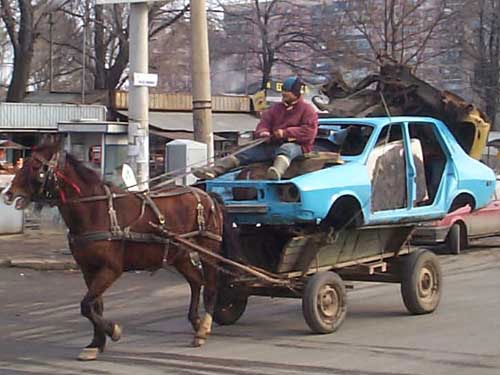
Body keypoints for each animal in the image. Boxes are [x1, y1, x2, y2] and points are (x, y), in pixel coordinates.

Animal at [1, 142, 225, 362]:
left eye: (35, 167)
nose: (7, 194)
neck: (95, 210)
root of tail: (205, 195)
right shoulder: (88, 269)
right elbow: (95, 305)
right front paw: (95, 343)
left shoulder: (111, 269)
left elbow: (86, 305)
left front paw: (113, 330)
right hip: (180, 254)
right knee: (196, 281)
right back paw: (196, 322)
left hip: (207, 247)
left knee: (211, 285)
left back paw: (203, 327)